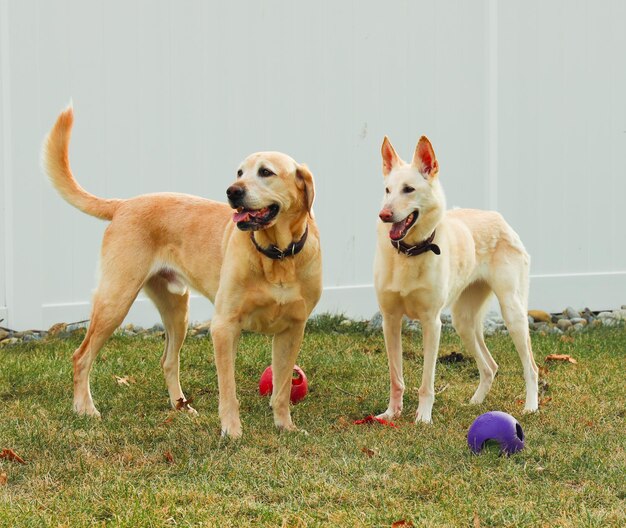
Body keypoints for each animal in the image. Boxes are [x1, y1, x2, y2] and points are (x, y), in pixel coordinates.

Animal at [42, 104, 322, 438]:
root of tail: (123, 205)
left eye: (266, 172)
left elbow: (281, 389)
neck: (277, 257)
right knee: (81, 357)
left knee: (167, 360)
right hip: (115, 301)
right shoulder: (224, 327)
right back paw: (85, 409)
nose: (231, 191)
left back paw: (180, 406)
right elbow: (228, 389)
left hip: (177, 310)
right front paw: (232, 431)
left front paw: (285, 427)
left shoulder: (292, 329)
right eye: (239, 172)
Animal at [370, 136, 536, 424]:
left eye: (409, 189)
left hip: (513, 313)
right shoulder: (390, 321)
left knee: (531, 367)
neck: (410, 252)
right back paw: (475, 403)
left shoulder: (432, 323)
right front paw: (391, 413)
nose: (384, 215)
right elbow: (396, 378)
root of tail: (498, 218)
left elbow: (426, 383)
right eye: (388, 190)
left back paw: (530, 406)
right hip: (464, 322)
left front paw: (423, 418)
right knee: (490, 366)